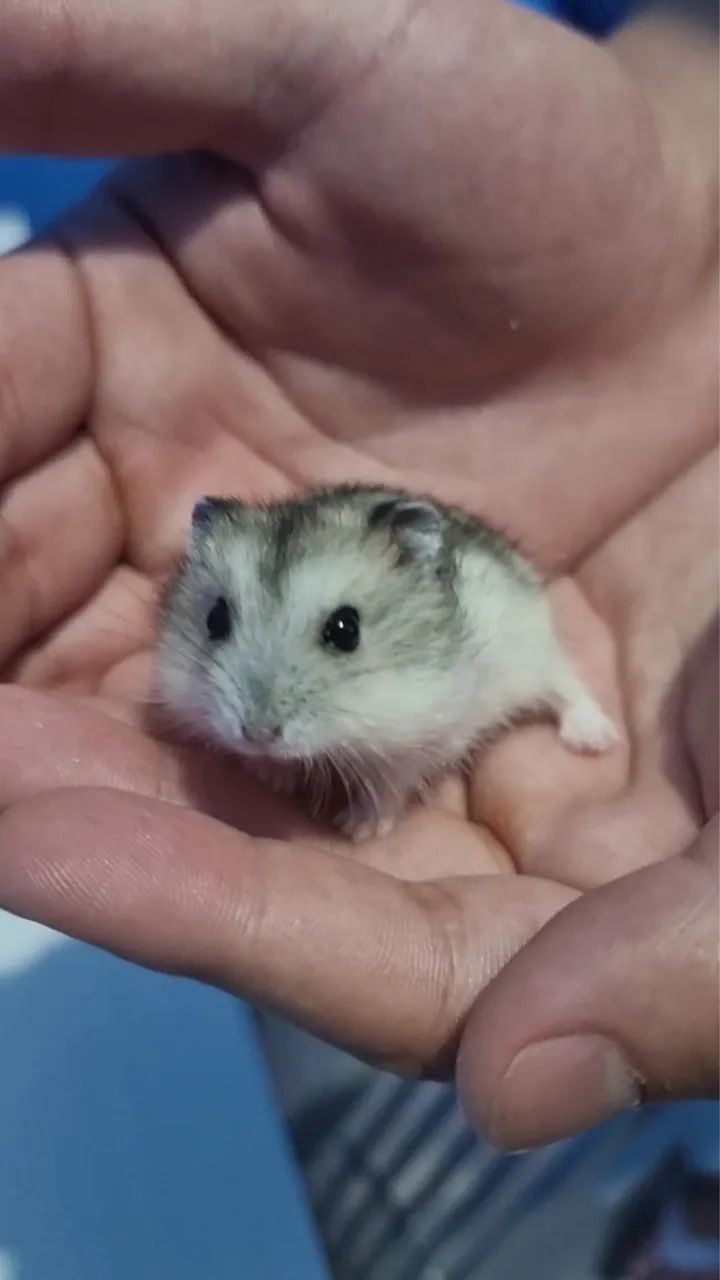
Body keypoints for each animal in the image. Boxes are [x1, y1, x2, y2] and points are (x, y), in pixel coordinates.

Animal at [156, 485, 618, 840]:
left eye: (346, 629)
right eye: (215, 619)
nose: (257, 735)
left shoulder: (418, 741)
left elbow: (387, 785)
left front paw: (354, 828)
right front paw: (272, 777)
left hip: (534, 649)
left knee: (566, 683)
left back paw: (593, 739)